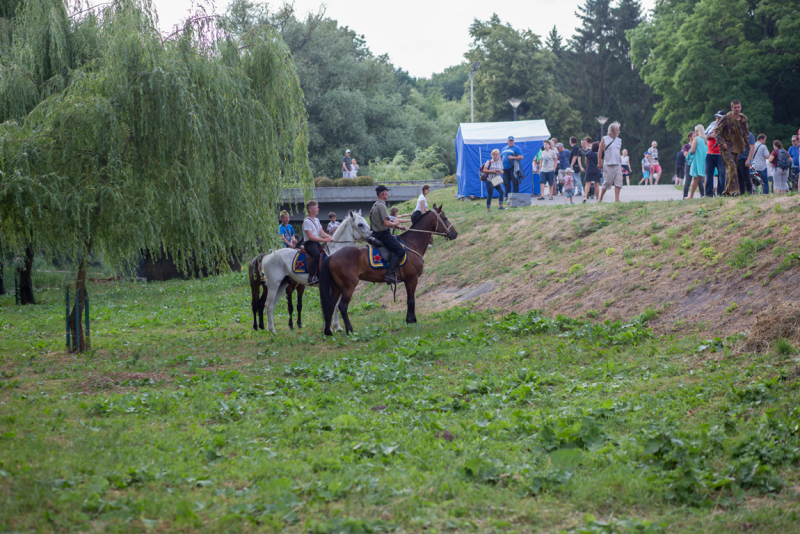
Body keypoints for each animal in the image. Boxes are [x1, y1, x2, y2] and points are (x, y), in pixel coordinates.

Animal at [318, 206, 456, 338]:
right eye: (445, 218)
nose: (455, 233)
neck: (411, 243)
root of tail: (332, 256)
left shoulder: (408, 280)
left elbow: (409, 300)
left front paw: (409, 320)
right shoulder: (412, 279)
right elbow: (411, 300)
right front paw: (412, 321)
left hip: (336, 287)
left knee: (331, 306)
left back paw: (328, 331)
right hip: (348, 287)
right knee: (342, 306)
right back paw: (349, 330)